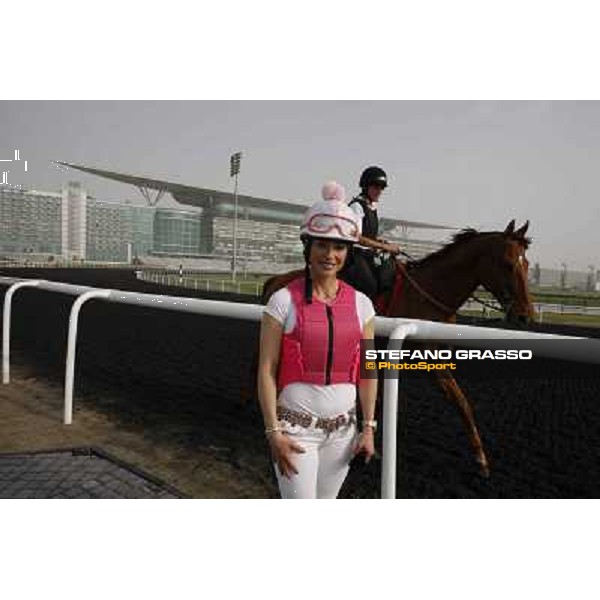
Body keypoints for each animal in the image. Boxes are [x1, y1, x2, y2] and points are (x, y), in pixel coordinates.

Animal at [260, 218, 532, 476]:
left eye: (527, 264)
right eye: (508, 264)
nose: (525, 315)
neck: (427, 293)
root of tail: (277, 278)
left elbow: (460, 401)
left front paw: (481, 458)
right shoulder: (425, 359)